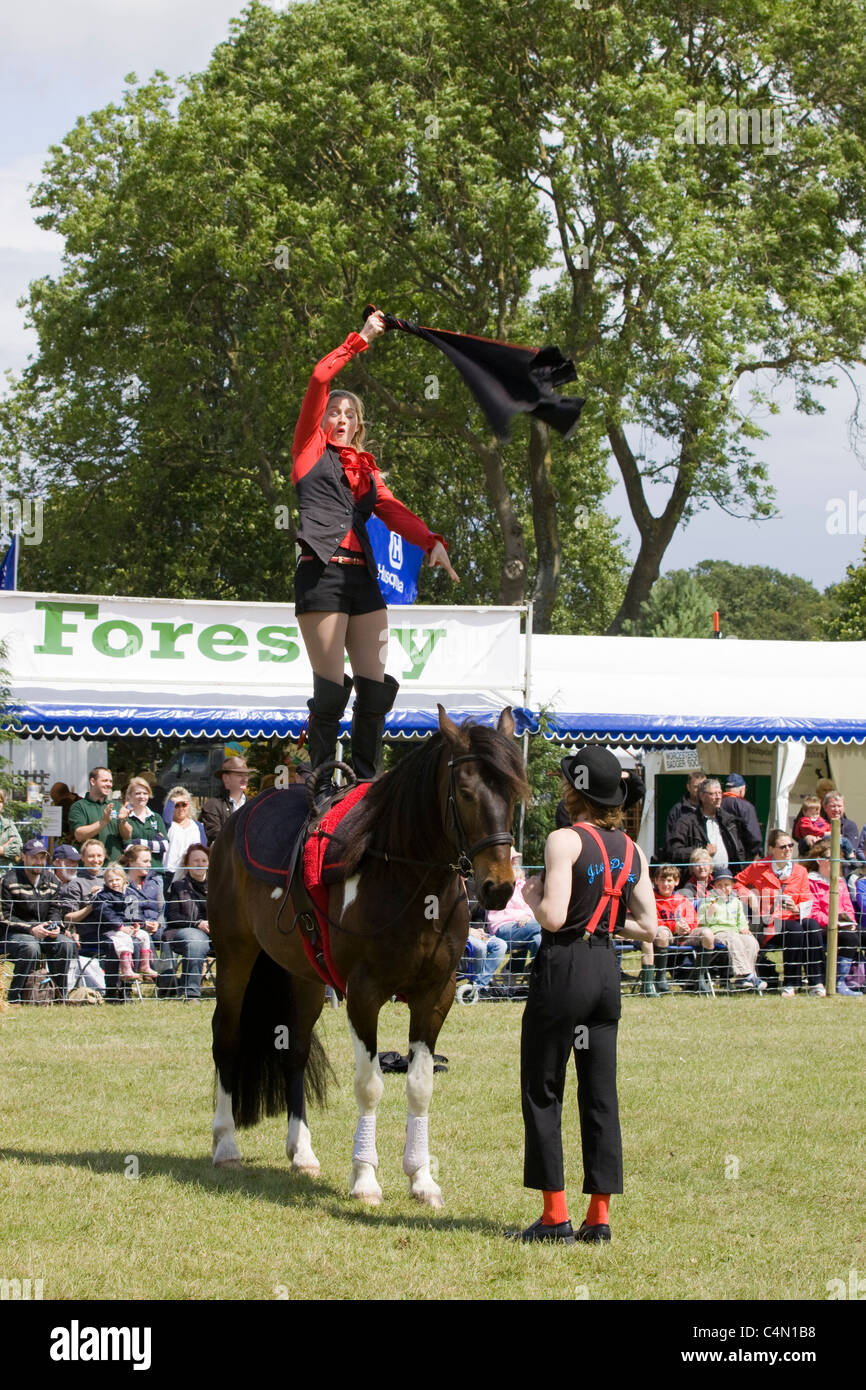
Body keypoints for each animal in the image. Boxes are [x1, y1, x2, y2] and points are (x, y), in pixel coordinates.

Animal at [208, 706, 528, 1206]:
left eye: (513, 793)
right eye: (465, 791)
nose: (499, 886)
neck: (408, 880)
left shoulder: (435, 996)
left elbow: (420, 1086)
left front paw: (421, 1178)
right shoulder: (363, 994)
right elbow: (371, 1085)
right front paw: (365, 1177)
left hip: (303, 977)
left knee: (294, 1050)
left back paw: (302, 1151)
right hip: (234, 957)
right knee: (226, 1036)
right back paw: (225, 1144)